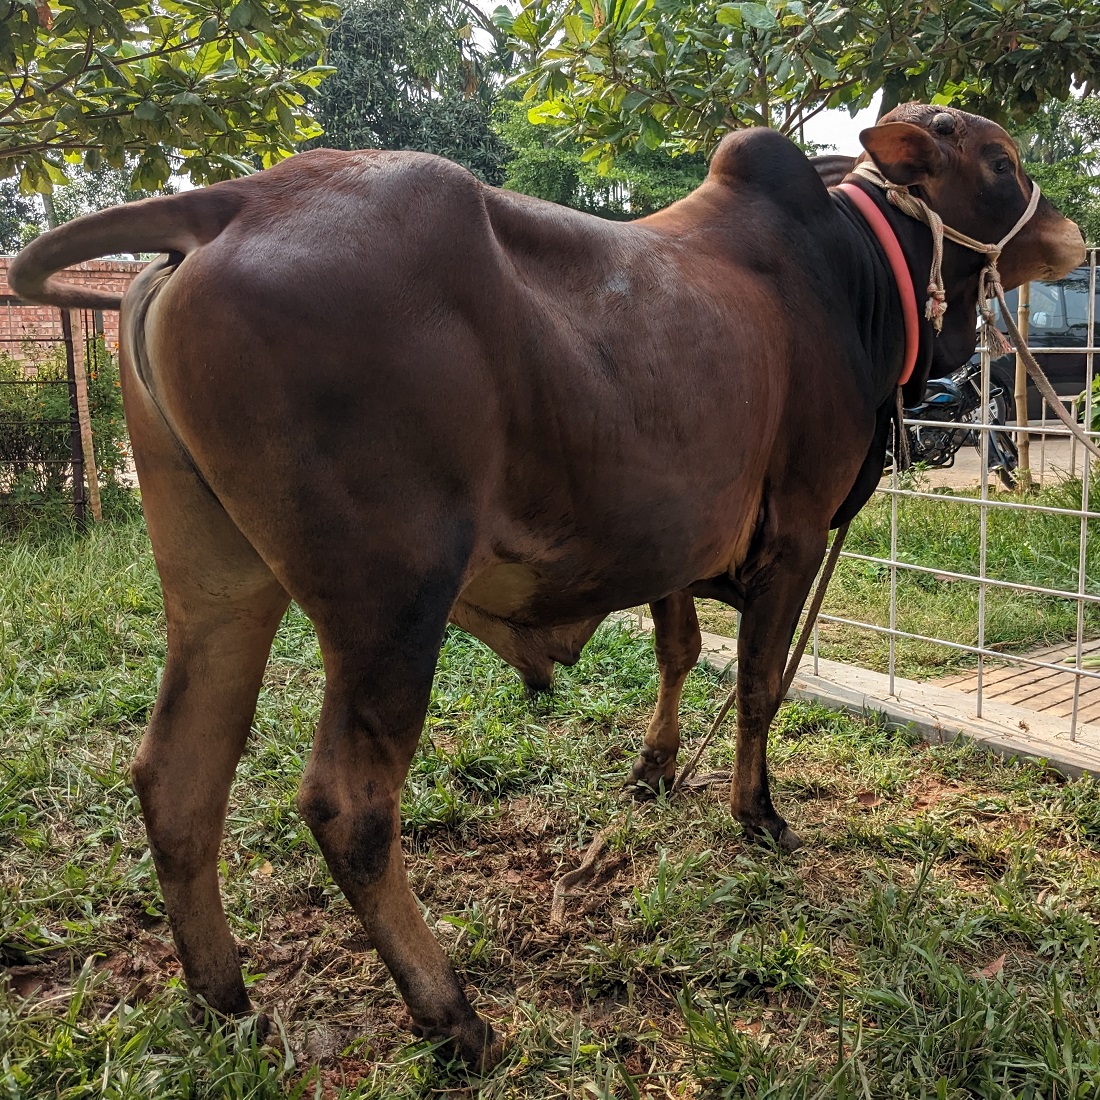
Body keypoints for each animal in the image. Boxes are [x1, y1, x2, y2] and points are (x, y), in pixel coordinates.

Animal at [8, 105, 1082, 1064]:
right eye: (999, 159)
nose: (1069, 231)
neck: (854, 274)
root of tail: (230, 203)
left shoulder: (673, 541)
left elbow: (681, 651)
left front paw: (654, 769)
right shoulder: (795, 537)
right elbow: (758, 690)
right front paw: (758, 815)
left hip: (218, 585)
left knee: (178, 778)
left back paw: (226, 1000)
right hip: (391, 605)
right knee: (347, 806)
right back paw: (451, 1013)